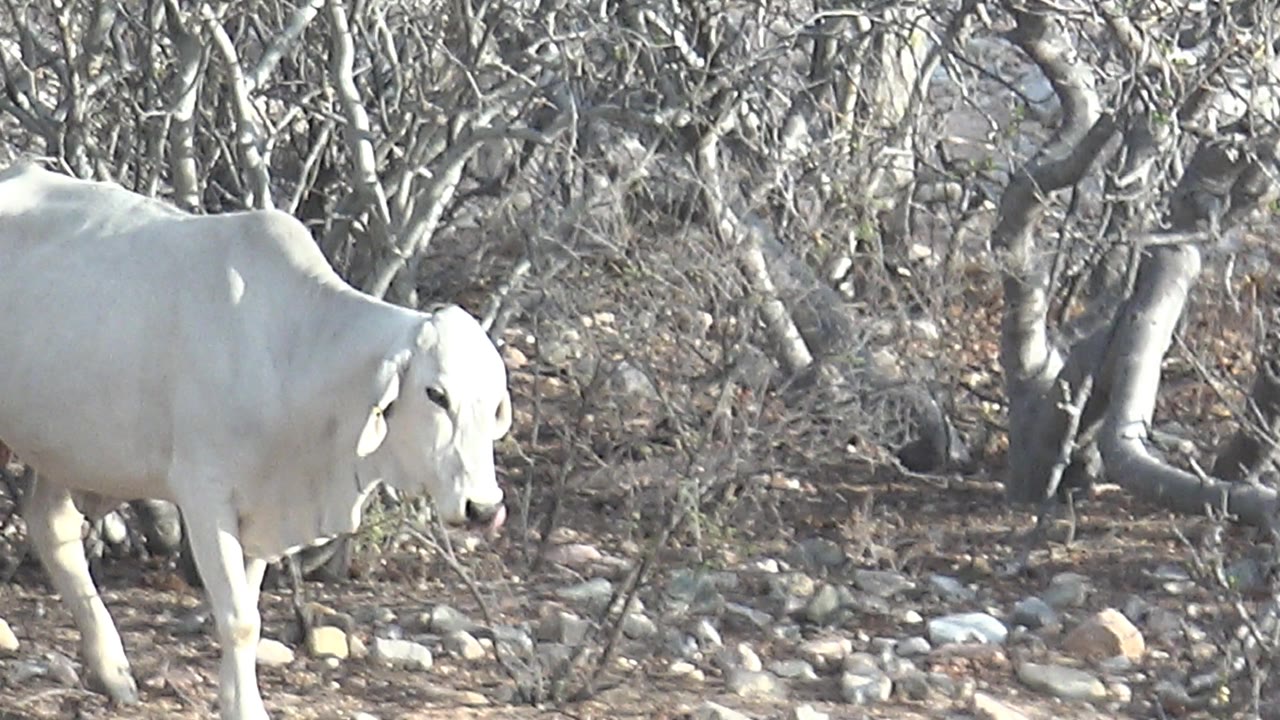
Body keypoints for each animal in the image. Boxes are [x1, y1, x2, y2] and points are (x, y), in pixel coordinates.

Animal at [0, 162, 512, 720]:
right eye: (436, 394)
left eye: (494, 402)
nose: (484, 508)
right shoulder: (204, 495)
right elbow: (239, 619)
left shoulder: (265, 505)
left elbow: (249, 610)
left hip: (64, 447)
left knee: (52, 527)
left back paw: (112, 670)